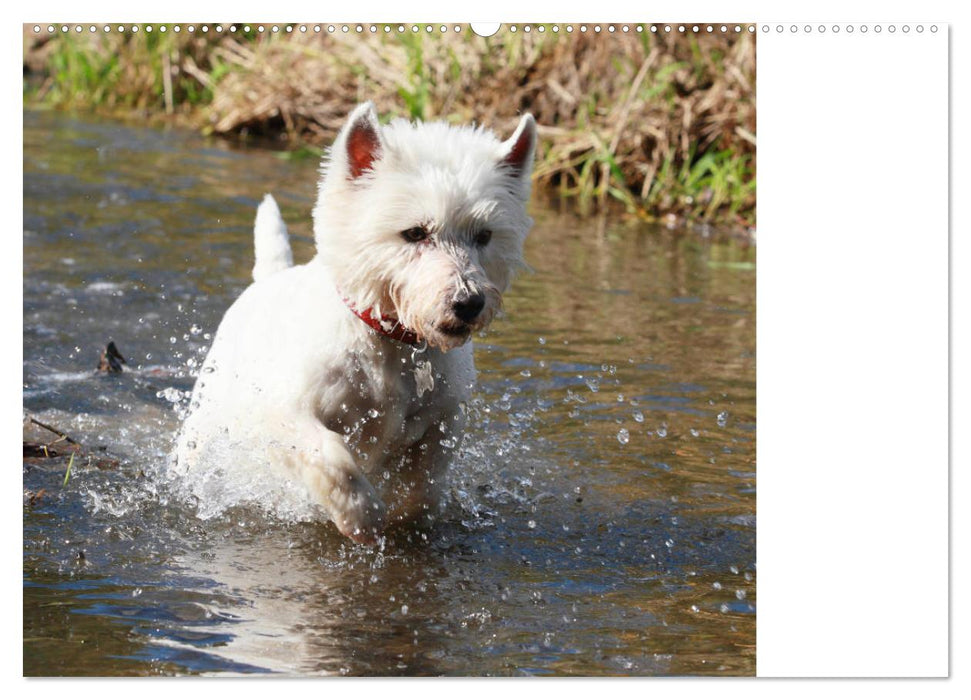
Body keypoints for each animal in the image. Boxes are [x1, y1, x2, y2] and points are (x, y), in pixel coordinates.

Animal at [177, 104, 540, 544]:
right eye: (414, 232)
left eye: (484, 235)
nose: (469, 303)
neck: (392, 339)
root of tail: (267, 278)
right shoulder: (282, 414)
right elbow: (331, 457)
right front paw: (362, 517)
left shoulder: (444, 420)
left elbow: (423, 486)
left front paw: (402, 519)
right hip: (209, 412)